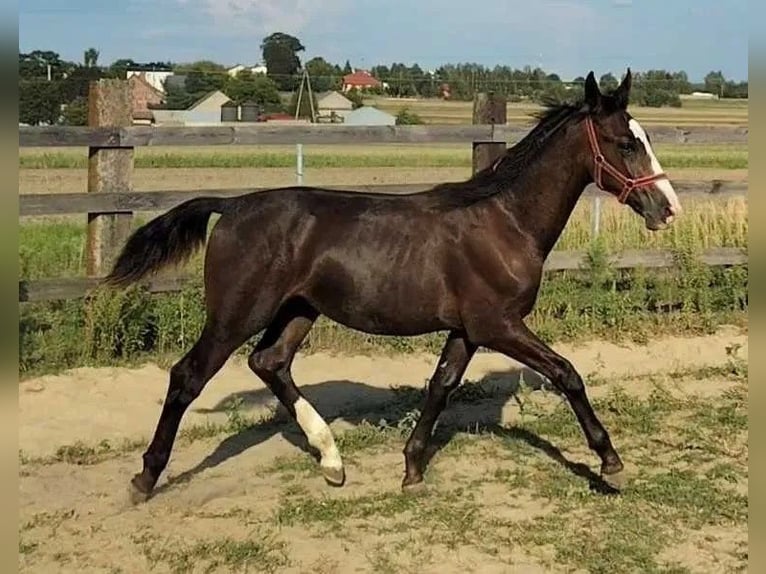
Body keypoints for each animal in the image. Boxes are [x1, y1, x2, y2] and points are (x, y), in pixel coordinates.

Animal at [103, 70, 684, 504]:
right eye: (625, 143)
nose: (668, 209)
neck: (504, 221)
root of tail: (231, 206)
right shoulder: (499, 324)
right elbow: (567, 374)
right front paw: (611, 463)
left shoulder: (469, 329)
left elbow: (441, 385)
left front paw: (411, 468)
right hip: (236, 314)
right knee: (187, 376)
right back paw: (145, 478)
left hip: (297, 311)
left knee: (270, 363)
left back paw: (332, 461)